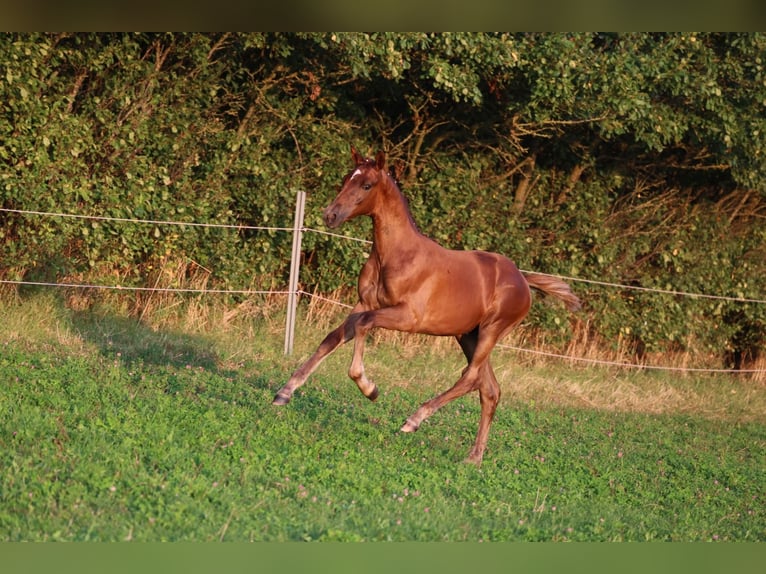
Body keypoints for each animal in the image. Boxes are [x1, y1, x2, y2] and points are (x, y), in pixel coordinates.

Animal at [272, 146, 580, 466]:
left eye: (366, 185)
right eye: (346, 178)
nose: (330, 215)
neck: (396, 254)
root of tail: (522, 278)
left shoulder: (408, 317)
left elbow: (364, 324)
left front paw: (369, 388)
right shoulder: (364, 303)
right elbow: (334, 336)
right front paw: (284, 392)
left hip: (491, 331)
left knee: (471, 378)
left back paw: (414, 420)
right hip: (468, 335)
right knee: (489, 389)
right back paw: (474, 458)